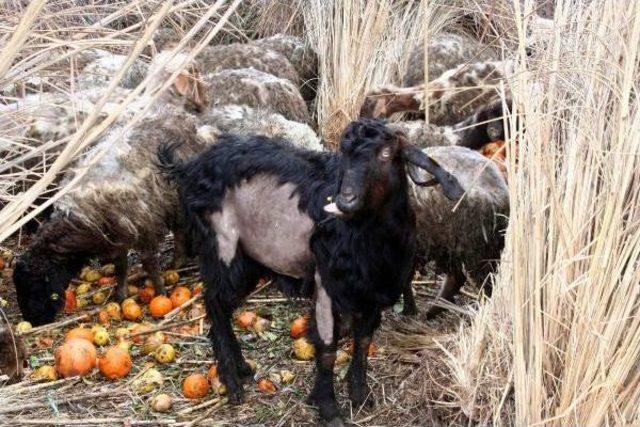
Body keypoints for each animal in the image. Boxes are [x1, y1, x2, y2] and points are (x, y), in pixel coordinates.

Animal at [158, 119, 462, 424]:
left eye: (386, 154)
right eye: (345, 156)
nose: (346, 200)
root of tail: (191, 167)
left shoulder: (372, 289)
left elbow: (364, 340)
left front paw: (360, 394)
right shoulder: (326, 280)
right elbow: (327, 347)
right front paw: (328, 408)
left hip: (248, 260)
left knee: (222, 305)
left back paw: (242, 368)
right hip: (222, 246)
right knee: (215, 303)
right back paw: (232, 380)